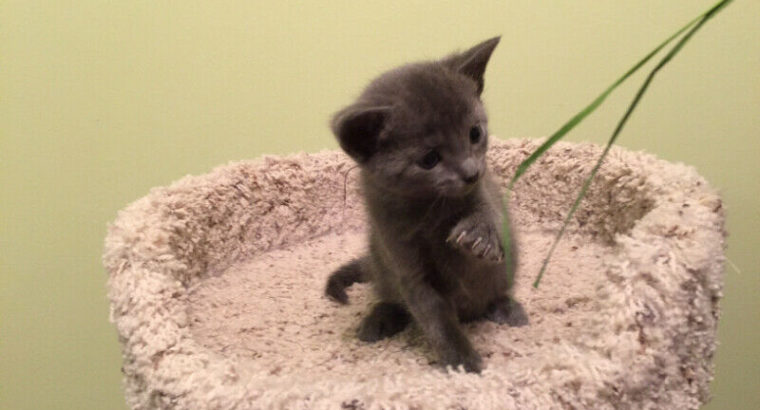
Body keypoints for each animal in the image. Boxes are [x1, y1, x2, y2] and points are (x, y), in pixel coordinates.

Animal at [326, 36, 528, 374]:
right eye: (430, 159)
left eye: (475, 133)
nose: (471, 172)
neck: (428, 209)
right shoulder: (403, 260)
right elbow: (433, 315)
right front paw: (462, 362)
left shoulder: (486, 198)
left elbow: (485, 227)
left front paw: (479, 236)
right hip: (380, 262)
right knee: (391, 297)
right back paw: (379, 319)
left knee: (496, 290)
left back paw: (506, 308)